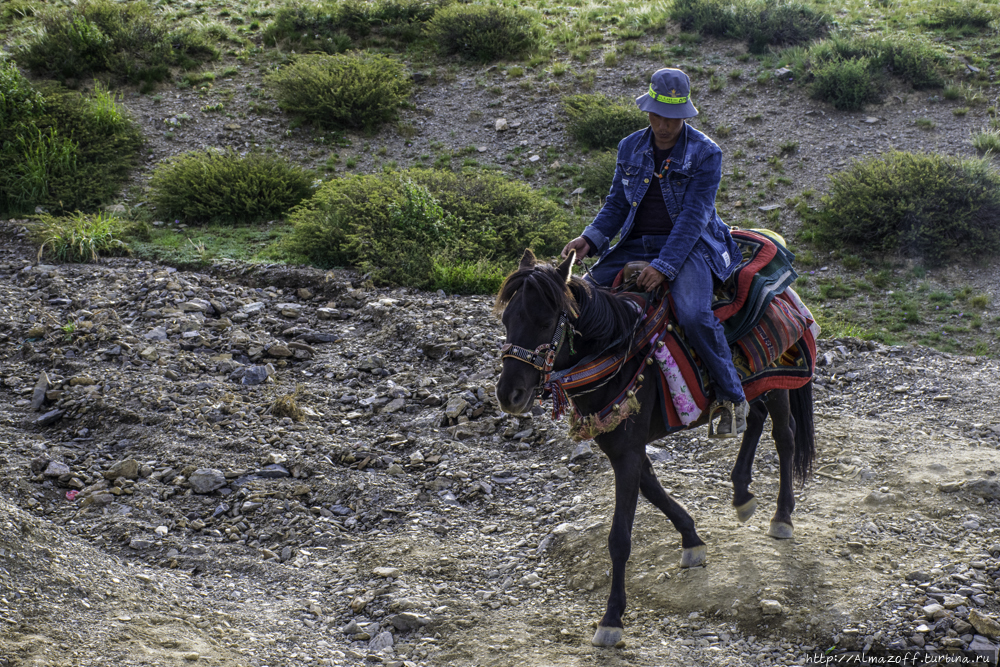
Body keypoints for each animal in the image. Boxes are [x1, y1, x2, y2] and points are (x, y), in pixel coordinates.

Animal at [492, 250, 812, 648]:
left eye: (545, 321)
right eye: (506, 319)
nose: (509, 395)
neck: (616, 354)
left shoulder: (627, 450)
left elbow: (619, 537)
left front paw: (611, 619)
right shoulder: (620, 446)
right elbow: (652, 487)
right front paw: (692, 540)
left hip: (779, 381)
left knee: (784, 436)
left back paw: (782, 517)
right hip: (755, 386)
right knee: (752, 417)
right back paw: (741, 495)